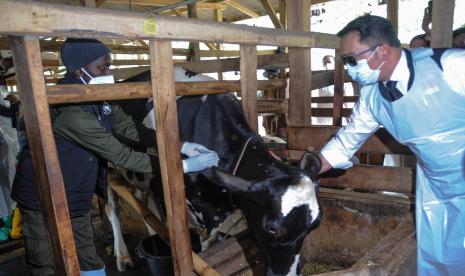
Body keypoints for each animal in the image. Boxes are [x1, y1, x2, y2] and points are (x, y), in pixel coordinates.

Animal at [107, 68, 320, 274]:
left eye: (314, 226)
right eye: (270, 227)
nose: (288, 274)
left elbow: (209, 241)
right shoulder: (161, 189)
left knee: (141, 201)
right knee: (112, 207)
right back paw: (122, 257)